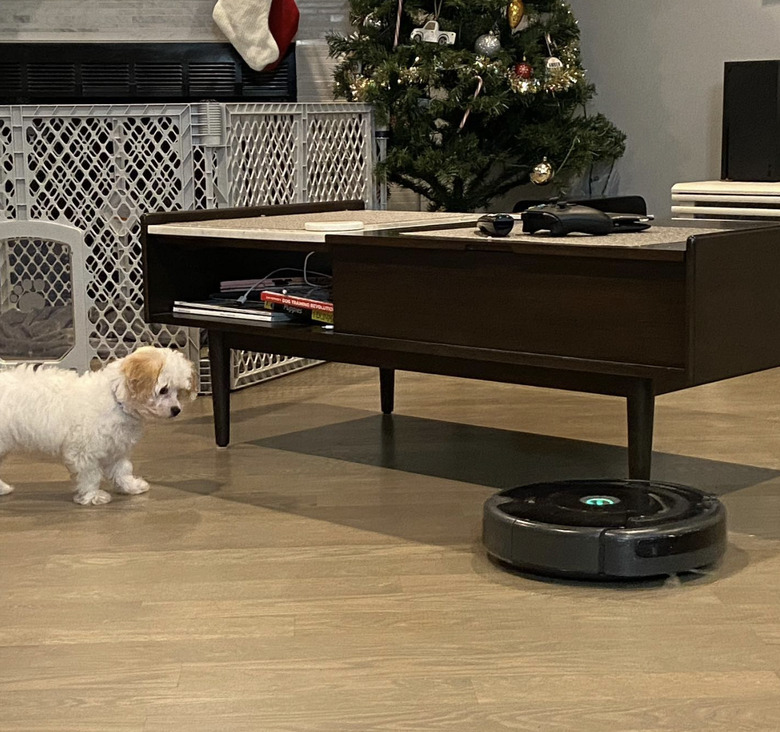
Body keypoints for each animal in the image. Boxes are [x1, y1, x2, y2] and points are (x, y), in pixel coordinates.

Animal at [0, 348, 197, 506]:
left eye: (178, 391)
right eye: (163, 390)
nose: (176, 410)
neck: (115, 399)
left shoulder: (115, 447)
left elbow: (123, 470)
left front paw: (130, 486)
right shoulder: (83, 453)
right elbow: (90, 475)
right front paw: (92, 496)